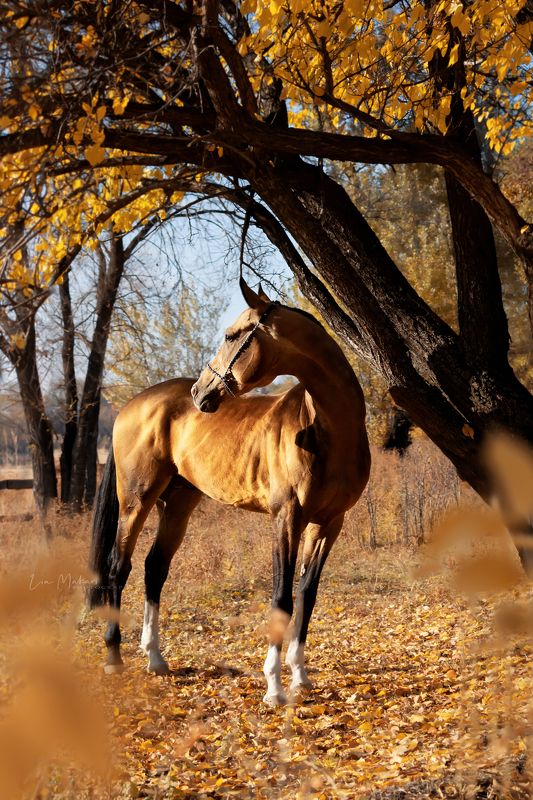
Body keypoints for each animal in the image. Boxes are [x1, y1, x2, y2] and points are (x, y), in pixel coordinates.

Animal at [89, 279, 370, 705]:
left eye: (230, 335)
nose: (199, 392)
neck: (326, 431)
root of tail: (129, 407)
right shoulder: (287, 518)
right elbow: (282, 597)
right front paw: (274, 687)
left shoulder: (329, 524)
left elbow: (307, 595)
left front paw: (300, 678)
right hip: (137, 500)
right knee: (118, 568)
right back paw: (113, 657)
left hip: (178, 503)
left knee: (155, 568)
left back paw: (155, 658)